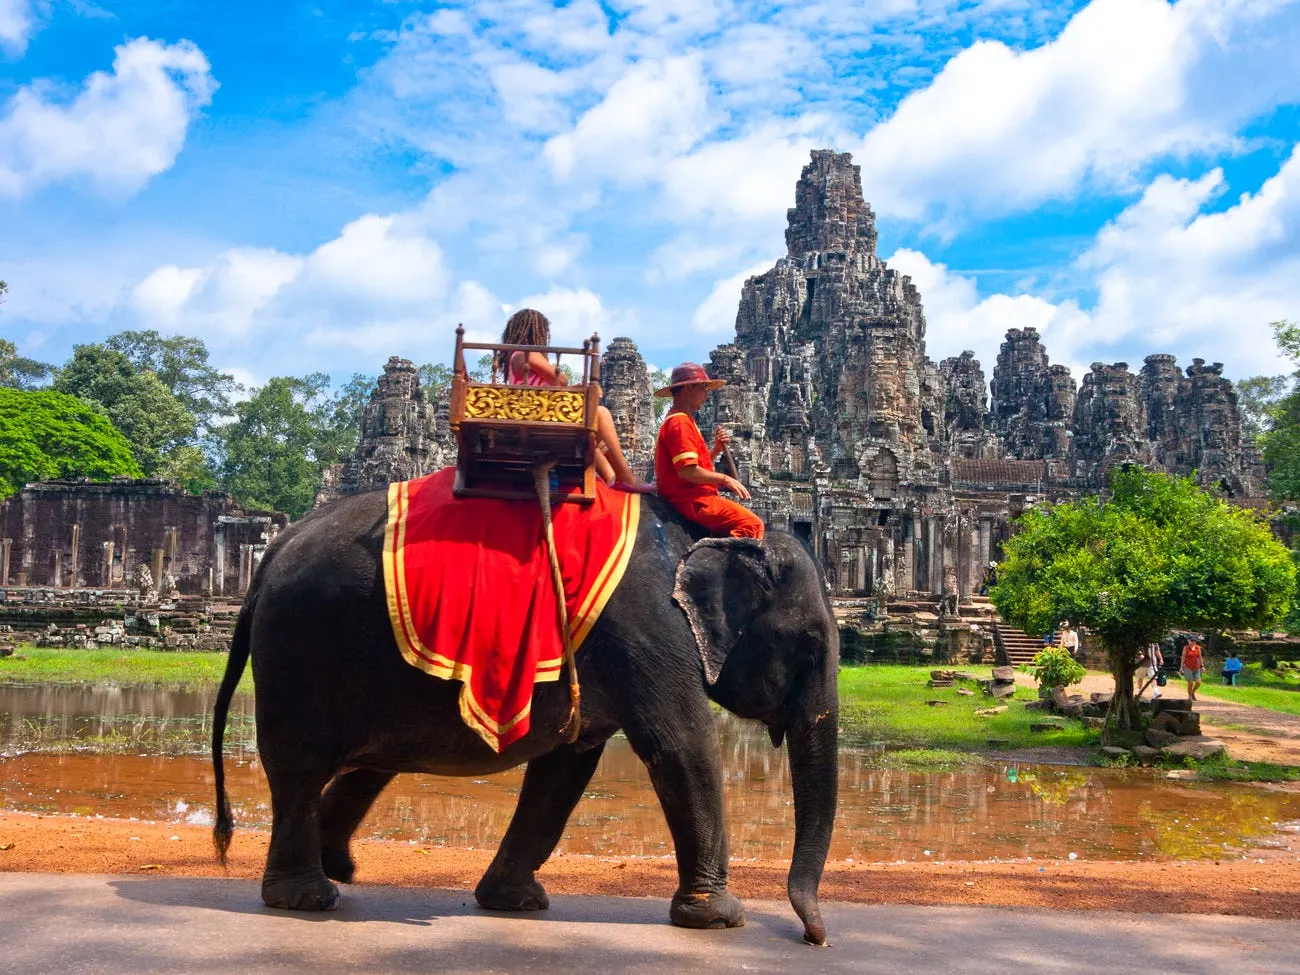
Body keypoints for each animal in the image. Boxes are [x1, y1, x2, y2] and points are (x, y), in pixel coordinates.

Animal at [211, 488, 840, 945]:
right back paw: (307, 897)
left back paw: (338, 867)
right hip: (298, 651)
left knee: (367, 767)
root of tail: (275, 550)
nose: (815, 937)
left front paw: (515, 903)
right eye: (810, 646)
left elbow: (567, 766)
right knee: (299, 769)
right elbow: (681, 743)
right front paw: (721, 918)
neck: (708, 535)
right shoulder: (649, 628)